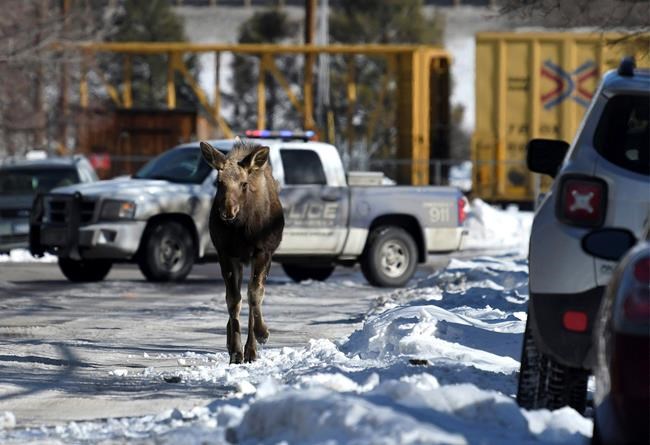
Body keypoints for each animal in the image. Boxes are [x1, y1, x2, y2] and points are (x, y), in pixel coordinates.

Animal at [200, 138, 284, 364]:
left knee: (254, 293)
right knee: (237, 296)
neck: (242, 230)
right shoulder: (226, 253)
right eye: (219, 182)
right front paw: (236, 351)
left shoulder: (262, 252)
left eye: (244, 184)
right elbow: (233, 300)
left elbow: (254, 294)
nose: (228, 212)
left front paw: (261, 335)